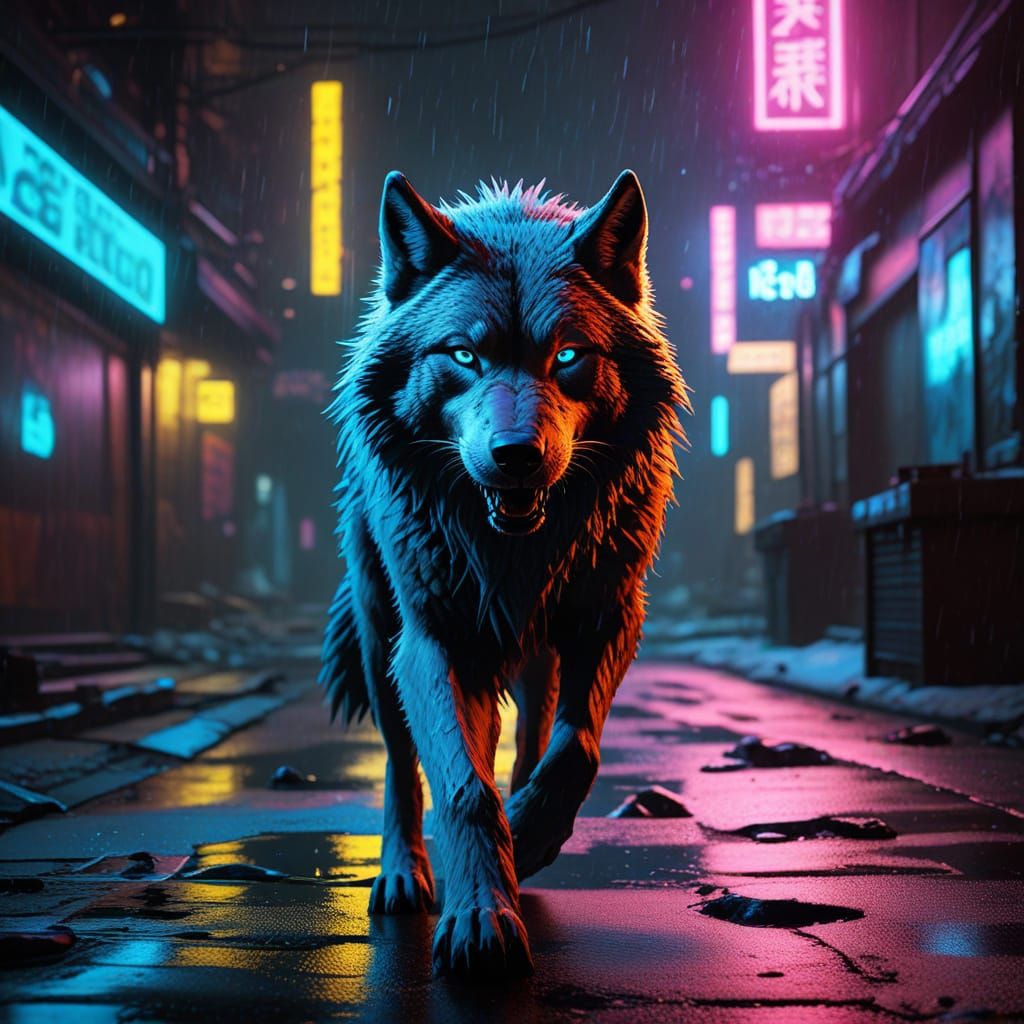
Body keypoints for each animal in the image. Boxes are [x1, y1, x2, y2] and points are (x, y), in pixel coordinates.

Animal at [319, 168, 686, 980]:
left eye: (568, 356)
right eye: (464, 356)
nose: (516, 455)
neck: (515, 552)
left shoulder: (608, 615)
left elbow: (575, 748)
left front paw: (531, 837)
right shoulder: (433, 641)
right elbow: (462, 788)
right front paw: (481, 917)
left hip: (536, 656)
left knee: (531, 735)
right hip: (380, 633)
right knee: (403, 764)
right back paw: (405, 875)